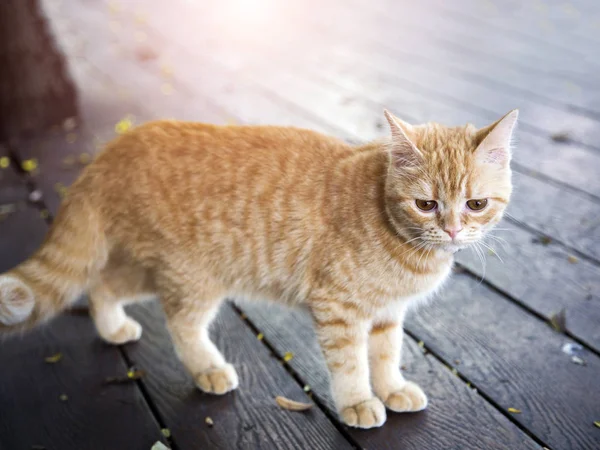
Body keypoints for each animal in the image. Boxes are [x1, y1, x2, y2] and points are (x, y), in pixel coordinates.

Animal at [0, 109, 516, 428]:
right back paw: (208, 369)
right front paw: (357, 401)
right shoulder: (339, 309)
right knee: (179, 325)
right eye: (426, 204)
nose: (452, 230)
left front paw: (391, 389)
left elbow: (385, 356)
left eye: (475, 204)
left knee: (101, 285)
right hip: (193, 279)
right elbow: (351, 363)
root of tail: (115, 146)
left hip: (149, 270)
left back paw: (112, 328)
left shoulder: (387, 314)